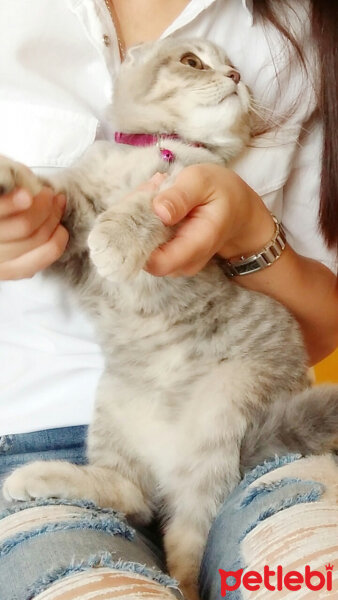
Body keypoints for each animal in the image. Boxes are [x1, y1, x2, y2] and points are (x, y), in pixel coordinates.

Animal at [1, 38, 336, 600]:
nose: (236, 75)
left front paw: (117, 238)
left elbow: (147, 207)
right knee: (135, 499)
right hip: (112, 407)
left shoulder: (182, 189)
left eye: (230, 67)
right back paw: (46, 476)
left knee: (186, 540)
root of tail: (165, 458)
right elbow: (49, 192)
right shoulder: (73, 226)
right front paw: (10, 181)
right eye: (193, 62)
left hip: (224, 407)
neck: (157, 147)